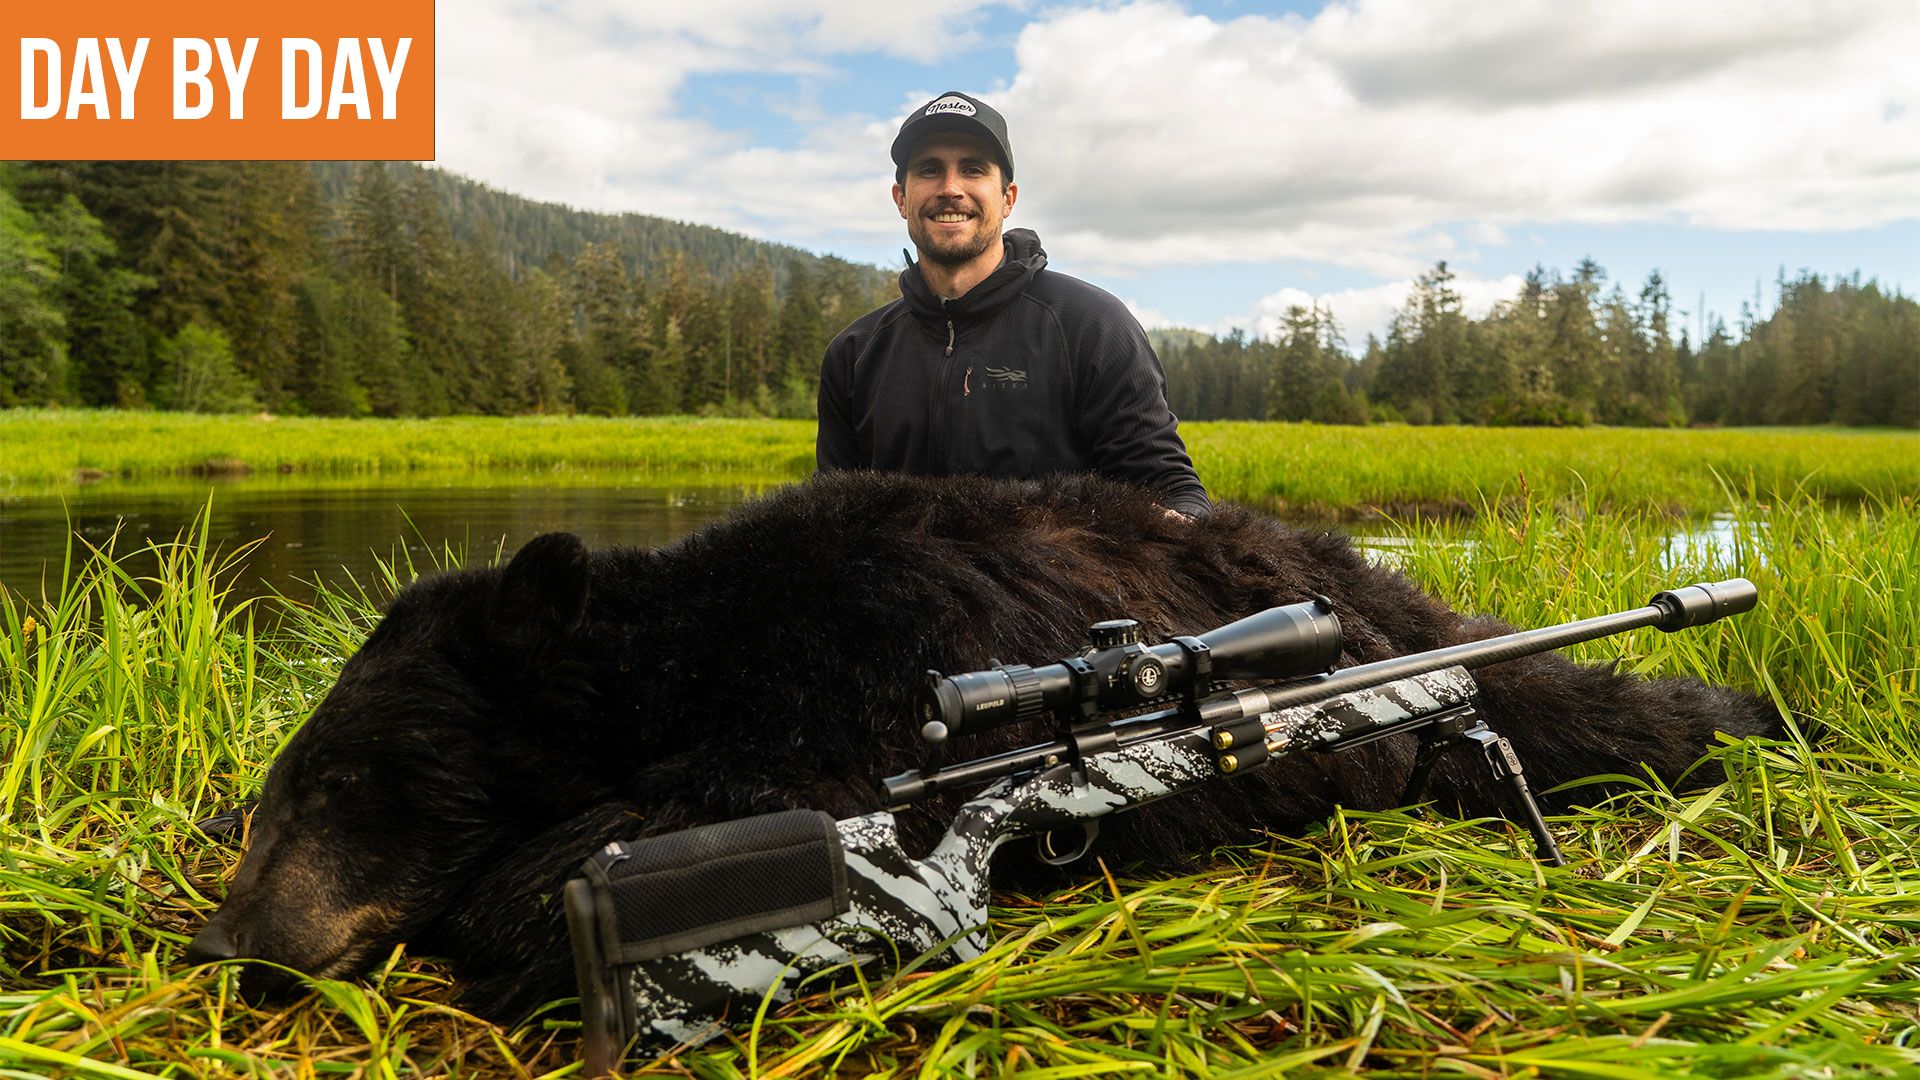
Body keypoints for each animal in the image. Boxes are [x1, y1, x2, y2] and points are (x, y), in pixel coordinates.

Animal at [184, 470, 1779, 1021]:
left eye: (347, 782)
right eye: (271, 791)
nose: (233, 943)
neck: (683, 654)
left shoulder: (858, 683)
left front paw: (529, 901)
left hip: (1417, 653)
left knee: (1576, 713)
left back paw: (1753, 719)